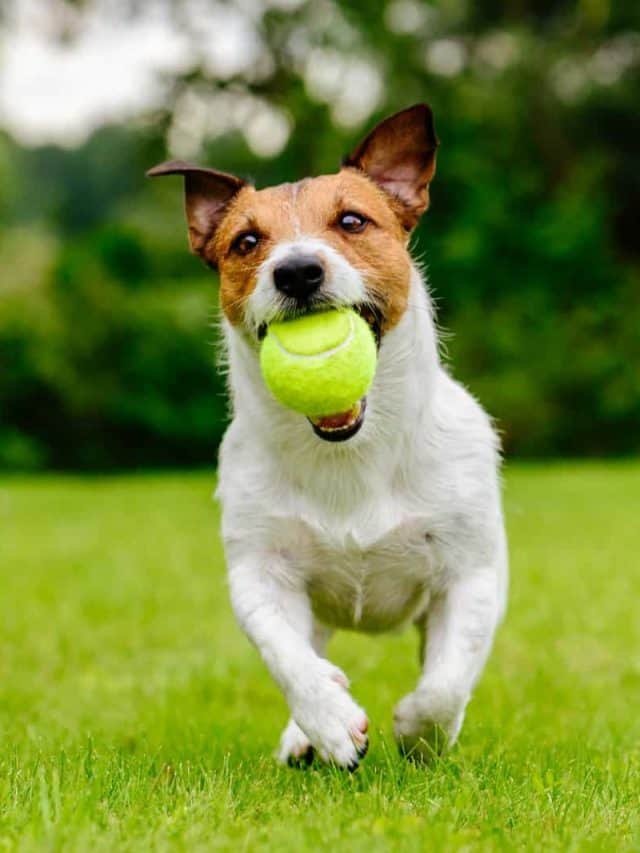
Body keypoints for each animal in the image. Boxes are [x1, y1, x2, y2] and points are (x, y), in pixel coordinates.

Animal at [148, 103, 508, 768]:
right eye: (247, 241)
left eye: (352, 220)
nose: (296, 271)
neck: (349, 453)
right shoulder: (259, 571)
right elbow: (286, 656)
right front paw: (328, 720)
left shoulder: (471, 574)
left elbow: (447, 681)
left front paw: (420, 731)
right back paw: (304, 735)